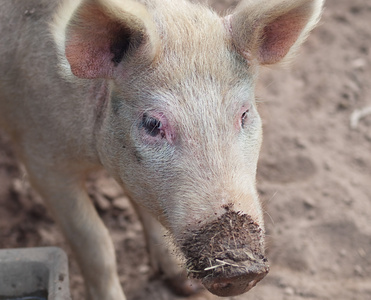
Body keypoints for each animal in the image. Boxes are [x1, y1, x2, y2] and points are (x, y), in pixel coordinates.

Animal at [0, 0, 322, 298]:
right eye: (152, 124)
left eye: (244, 114)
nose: (242, 270)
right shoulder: (40, 158)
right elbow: (95, 242)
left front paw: (183, 287)